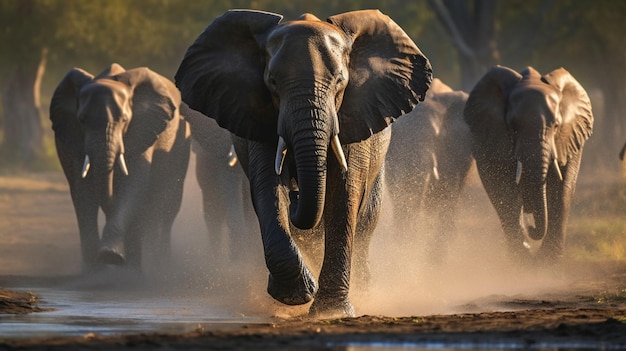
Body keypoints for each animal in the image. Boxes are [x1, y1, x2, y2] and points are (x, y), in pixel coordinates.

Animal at [49, 64, 190, 272]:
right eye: (81, 120)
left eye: (124, 120)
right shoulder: (74, 138)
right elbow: (84, 191)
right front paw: (94, 267)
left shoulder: (142, 130)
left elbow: (134, 184)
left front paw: (111, 256)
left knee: (167, 205)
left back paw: (154, 264)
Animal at [173, 8, 432, 320]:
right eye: (272, 82)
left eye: (340, 83)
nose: (297, 195)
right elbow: (269, 188)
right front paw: (298, 295)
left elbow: (344, 192)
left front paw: (332, 312)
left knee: (366, 220)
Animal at [464, 65, 588, 264]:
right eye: (513, 127)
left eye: (556, 126)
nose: (531, 228)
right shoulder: (490, 140)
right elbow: (503, 191)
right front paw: (522, 259)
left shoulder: (571, 137)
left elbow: (562, 189)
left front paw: (549, 260)